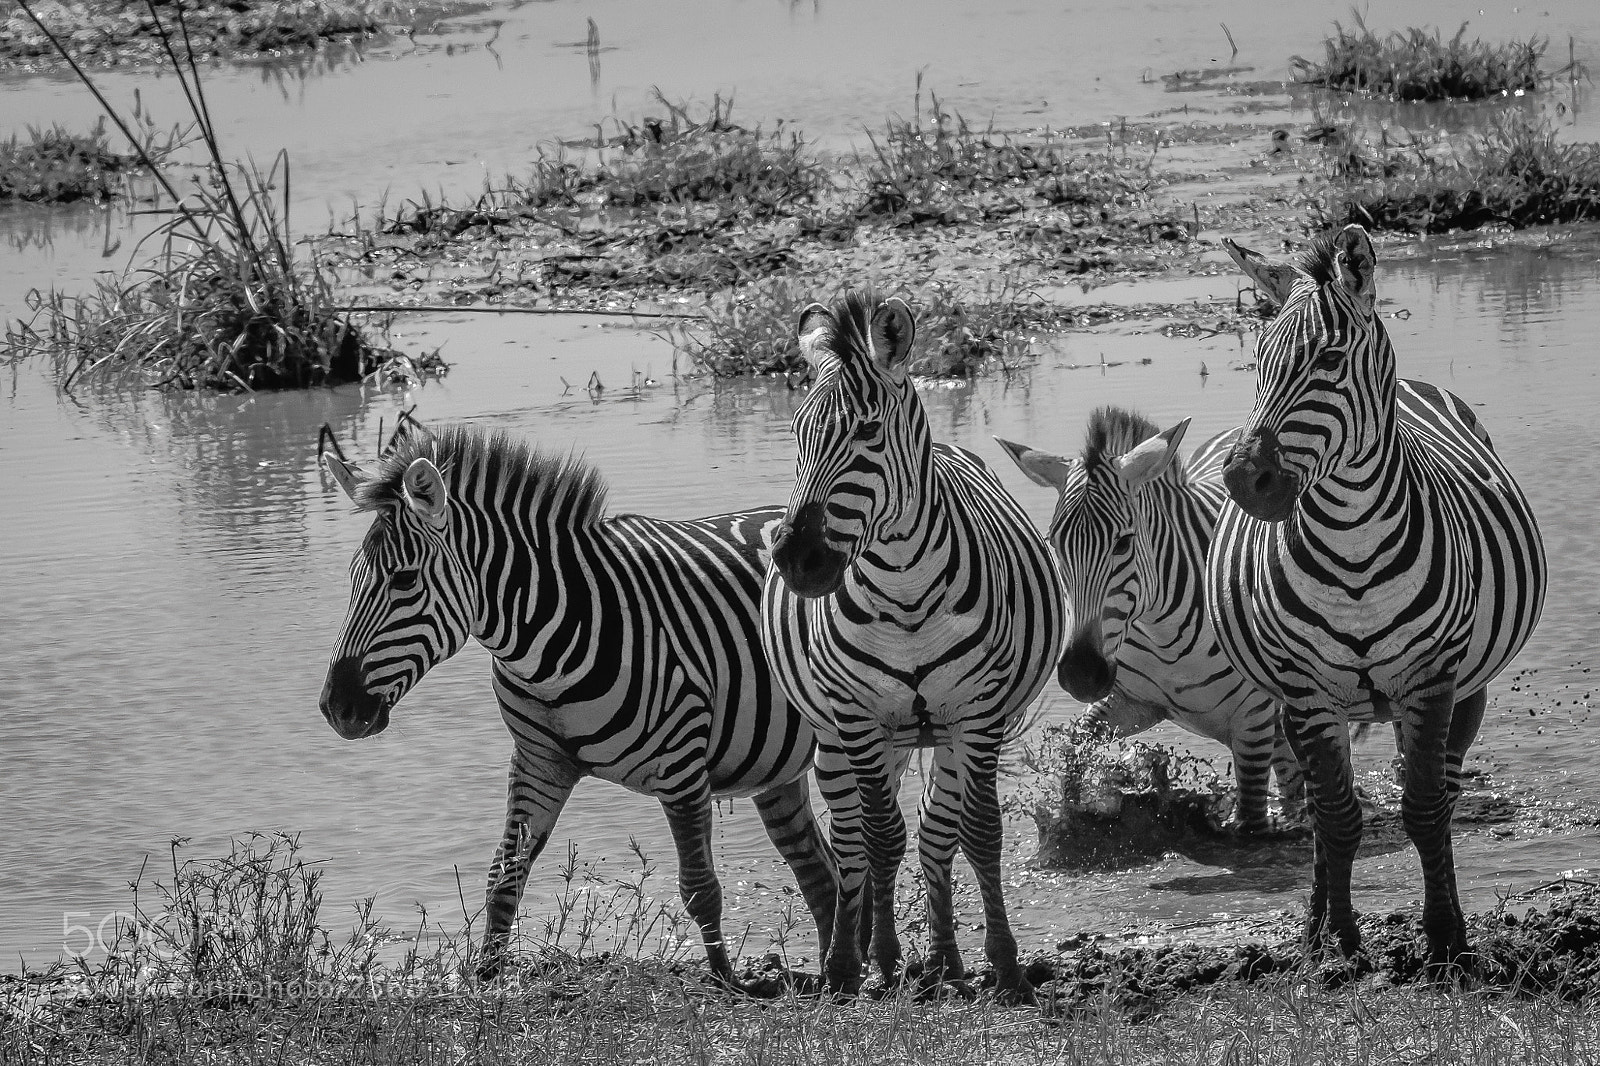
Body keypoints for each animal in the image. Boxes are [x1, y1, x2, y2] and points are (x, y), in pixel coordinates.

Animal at [317, 424, 843, 989]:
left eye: (404, 580)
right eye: (352, 577)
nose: (335, 708)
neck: (544, 651)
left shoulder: (682, 766)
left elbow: (700, 887)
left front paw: (728, 986)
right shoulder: (538, 764)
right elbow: (503, 875)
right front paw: (484, 979)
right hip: (774, 765)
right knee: (820, 871)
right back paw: (836, 979)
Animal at [762, 293, 1065, 1003]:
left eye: (868, 433)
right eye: (796, 434)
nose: (798, 558)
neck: (903, 592)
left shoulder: (977, 714)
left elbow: (978, 834)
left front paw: (1005, 967)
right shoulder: (858, 716)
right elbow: (877, 839)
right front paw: (866, 965)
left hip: (941, 733)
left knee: (935, 831)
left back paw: (946, 961)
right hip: (846, 739)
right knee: (853, 839)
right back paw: (860, 960)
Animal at [996, 408, 1302, 832]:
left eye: (1124, 543)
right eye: (1054, 544)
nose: (1079, 674)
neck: (1165, 635)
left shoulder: (1252, 721)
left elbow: (1251, 816)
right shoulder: (1132, 702)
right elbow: (1076, 749)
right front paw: (1071, 813)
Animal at [1208, 225, 1546, 978]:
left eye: (1329, 360)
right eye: (1256, 362)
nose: (1247, 481)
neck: (1352, 545)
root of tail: (1417, 383)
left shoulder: (1429, 677)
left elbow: (1422, 810)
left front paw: (1446, 941)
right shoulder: (1307, 691)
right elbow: (1337, 819)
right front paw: (1339, 945)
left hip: (1465, 687)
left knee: (1442, 793)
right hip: (1300, 702)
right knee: (1319, 810)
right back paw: (1311, 933)